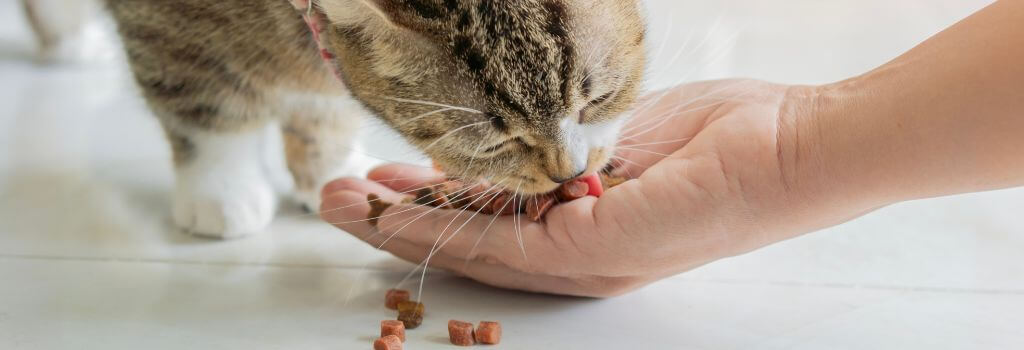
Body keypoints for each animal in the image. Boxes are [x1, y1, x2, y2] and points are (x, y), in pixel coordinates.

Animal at [25, 0, 647, 237]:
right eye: (494, 142)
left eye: (598, 99)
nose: (570, 173)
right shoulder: (167, 25)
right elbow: (205, 109)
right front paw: (221, 190)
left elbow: (323, 109)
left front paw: (325, 173)